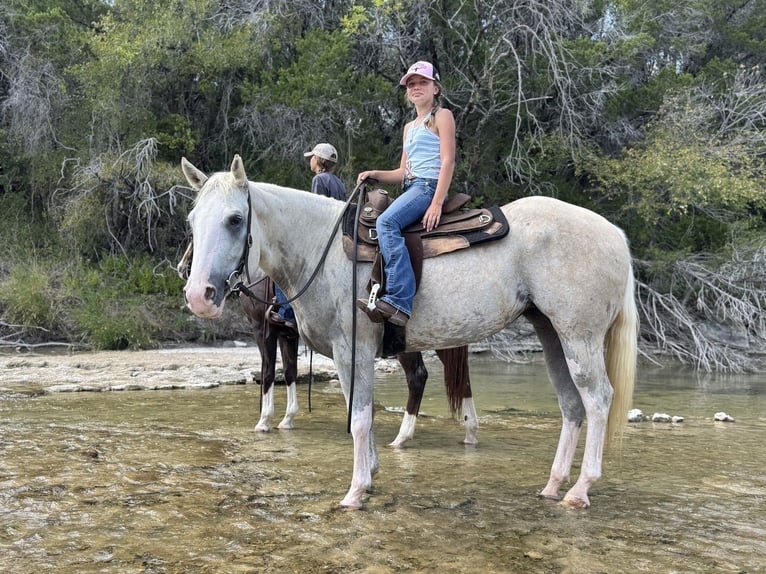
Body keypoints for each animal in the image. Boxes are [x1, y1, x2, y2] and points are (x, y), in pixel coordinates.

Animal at [177, 237, 478, 445]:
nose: (183, 268)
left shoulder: (263, 331)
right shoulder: (288, 334)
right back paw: (470, 431)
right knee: (462, 378)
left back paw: (402, 437)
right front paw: (288, 418)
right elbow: (290, 372)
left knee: (418, 376)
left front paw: (264, 420)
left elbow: (267, 373)